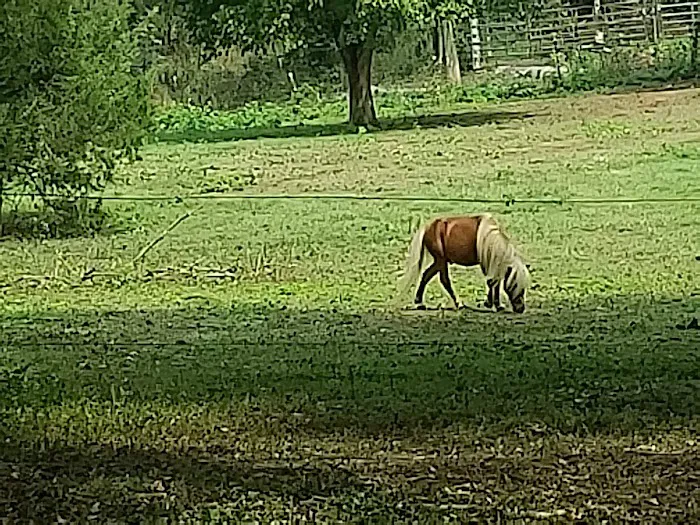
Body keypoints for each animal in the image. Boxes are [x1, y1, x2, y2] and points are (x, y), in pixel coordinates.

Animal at [398, 213, 531, 313]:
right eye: (515, 285)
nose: (521, 308)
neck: (490, 237)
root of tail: (427, 227)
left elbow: (496, 282)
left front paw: (498, 305)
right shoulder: (485, 262)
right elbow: (491, 282)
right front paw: (489, 303)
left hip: (440, 261)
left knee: (426, 275)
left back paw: (419, 302)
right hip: (440, 260)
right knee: (444, 280)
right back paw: (458, 303)